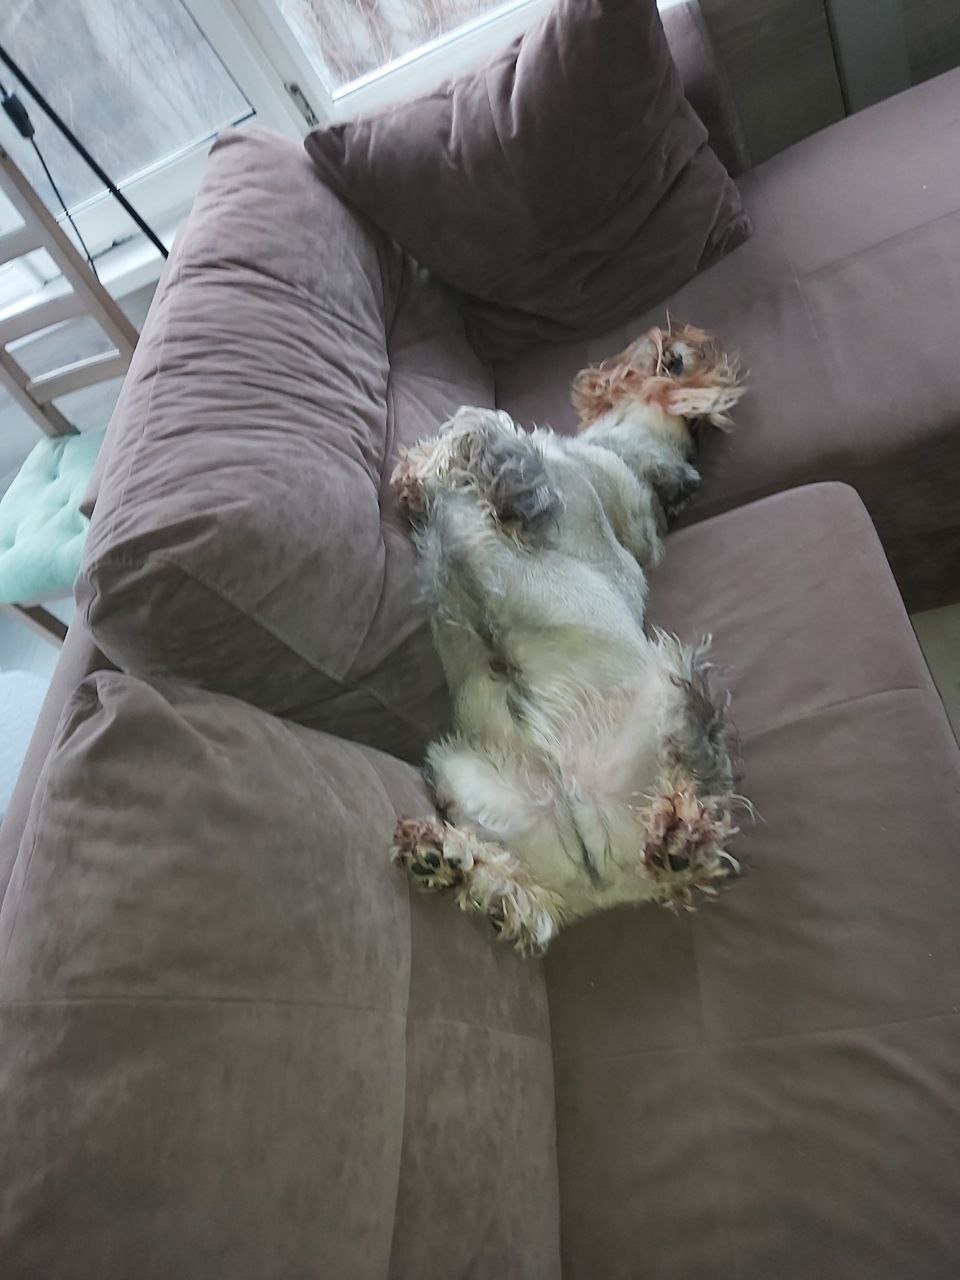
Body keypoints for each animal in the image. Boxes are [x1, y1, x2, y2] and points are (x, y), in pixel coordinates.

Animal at [390, 323, 749, 956]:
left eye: (678, 359)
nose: (672, 330)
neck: (629, 459)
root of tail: (609, 885)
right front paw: (420, 471)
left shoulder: (536, 487)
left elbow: (484, 423)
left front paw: (437, 455)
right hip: (458, 775)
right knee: (523, 899)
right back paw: (443, 856)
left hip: (681, 673)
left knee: (700, 791)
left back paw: (681, 835)